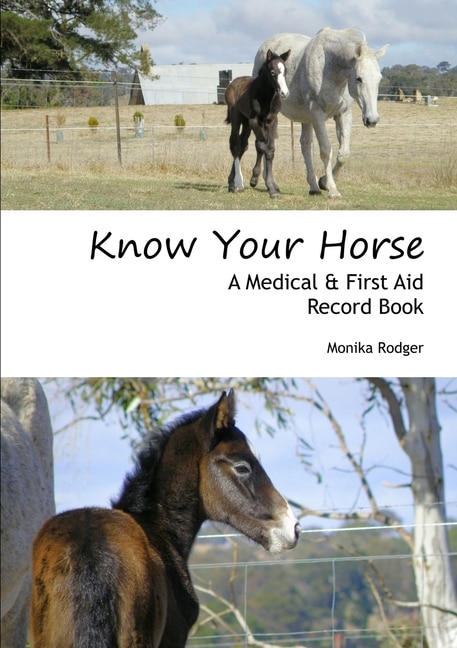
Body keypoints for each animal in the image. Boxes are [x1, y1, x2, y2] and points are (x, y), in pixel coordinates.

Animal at [225, 48, 291, 198]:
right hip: (237, 117)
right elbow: (261, 146)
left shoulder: (271, 121)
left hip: (246, 123)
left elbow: (269, 149)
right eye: (272, 72)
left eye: (285, 71)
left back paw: (232, 180)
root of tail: (232, 83)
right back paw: (237, 183)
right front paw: (260, 181)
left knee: (243, 145)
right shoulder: (254, 120)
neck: (266, 96)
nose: (284, 93)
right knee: (235, 145)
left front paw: (270, 186)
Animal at [253, 28, 389, 198]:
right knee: (267, 142)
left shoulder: (343, 114)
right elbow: (325, 150)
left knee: (305, 145)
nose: (372, 120)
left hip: (306, 120)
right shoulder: (317, 115)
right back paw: (268, 182)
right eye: (359, 78)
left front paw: (323, 182)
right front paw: (332, 189)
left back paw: (313, 187)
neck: (330, 69)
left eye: (379, 78)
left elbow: (343, 153)